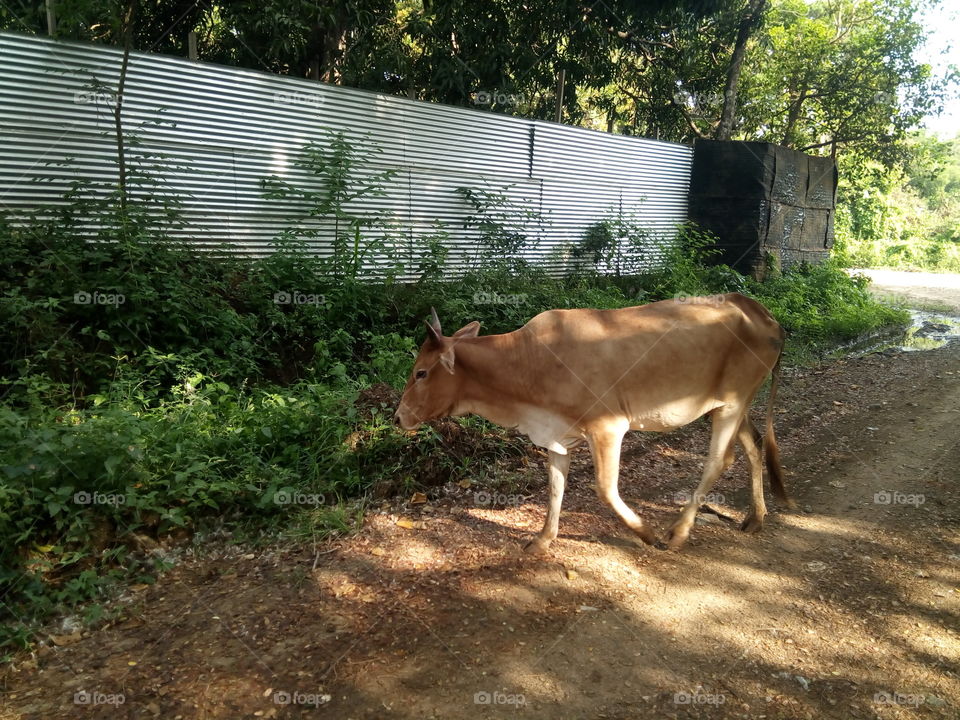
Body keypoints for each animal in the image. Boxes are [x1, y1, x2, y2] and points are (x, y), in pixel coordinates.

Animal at [395, 293, 793, 551]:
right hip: (727, 404)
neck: (526, 363)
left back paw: (678, 533)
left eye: (421, 372)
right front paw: (543, 539)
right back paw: (756, 518)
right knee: (754, 444)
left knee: (719, 460)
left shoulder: (608, 427)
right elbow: (555, 488)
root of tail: (761, 311)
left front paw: (645, 532)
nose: (399, 416)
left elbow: (604, 488)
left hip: (732, 402)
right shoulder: (556, 434)